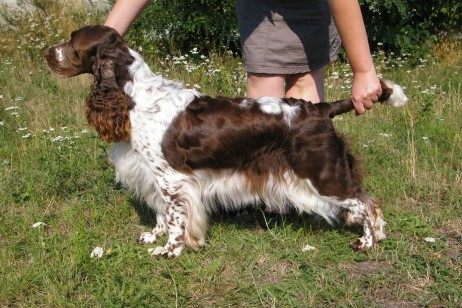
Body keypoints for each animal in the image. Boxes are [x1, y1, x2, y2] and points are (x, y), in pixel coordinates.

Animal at [44, 24, 408, 258]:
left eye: (73, 42)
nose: (46, 52)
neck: (135, 95)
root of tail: (321, 109)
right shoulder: (153, 175)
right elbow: (162, 213)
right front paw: (153, 237)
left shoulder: (171, 178)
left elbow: (175, 218)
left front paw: (170, 250)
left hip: (321, 173)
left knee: (369, 205)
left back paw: (368, 242)